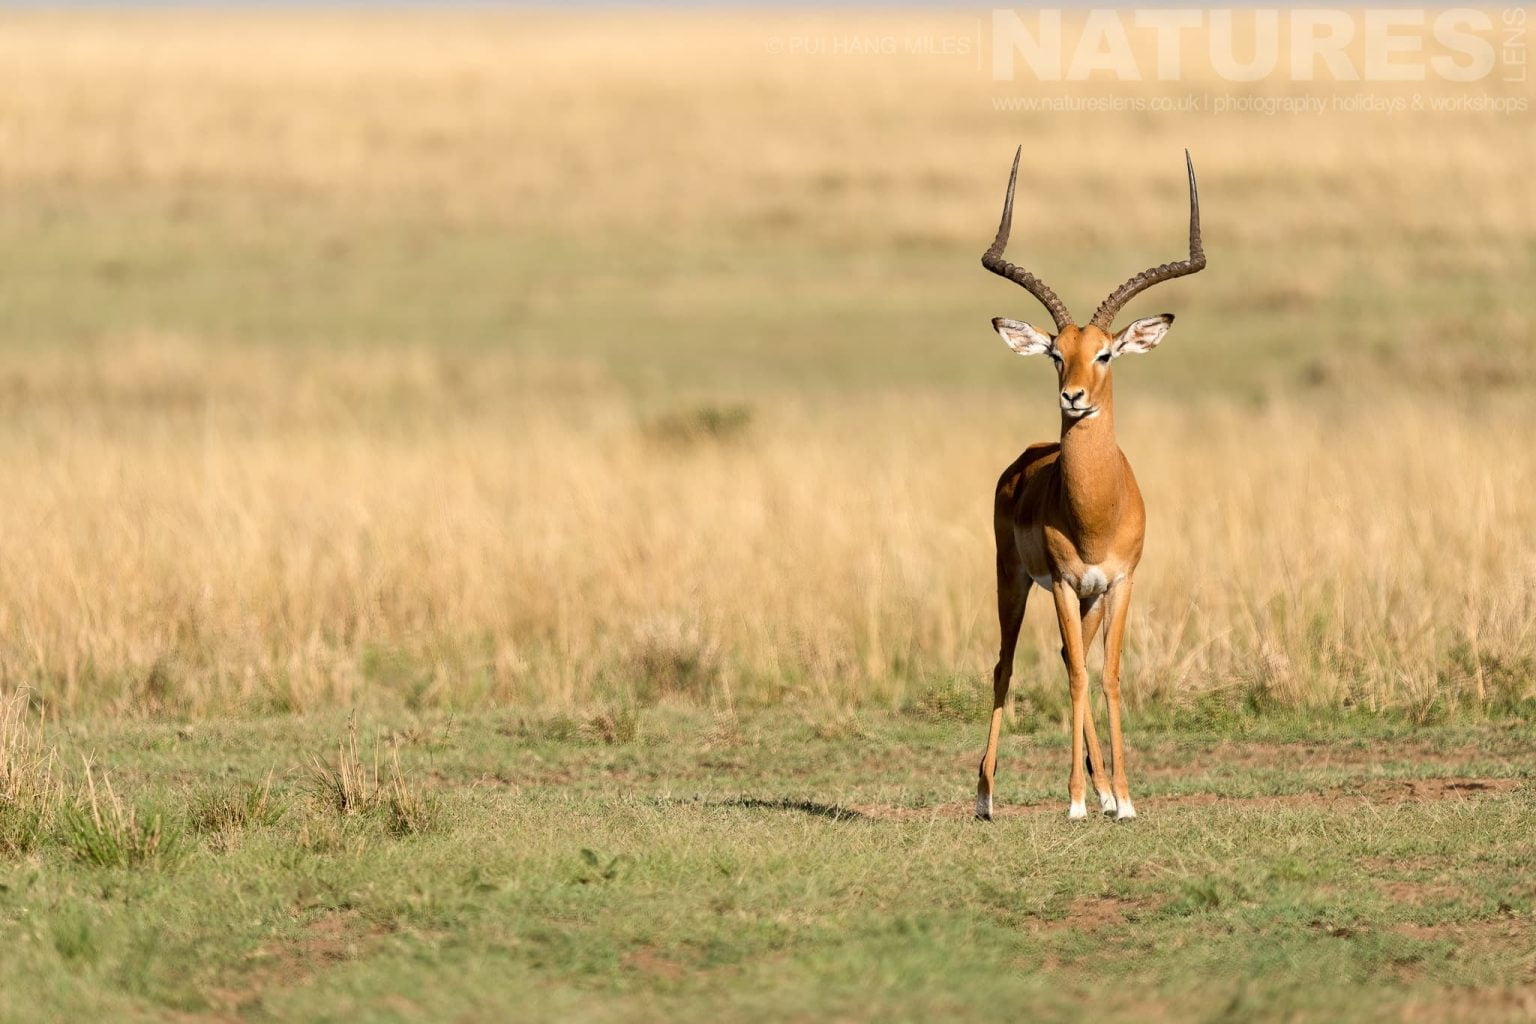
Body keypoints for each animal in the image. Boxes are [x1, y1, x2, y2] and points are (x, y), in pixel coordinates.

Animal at [974, 147, 1206, 822]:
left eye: (1105, 353)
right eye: (1056, 352)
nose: (1073, 397)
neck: (1096, 510)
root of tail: (1028, 456)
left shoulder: (1119, 583)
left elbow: (1107, 675)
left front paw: (1121, 799)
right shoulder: (1061, 582)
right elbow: (1078, 675)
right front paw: (1075, 802)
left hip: (1088, 599)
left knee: (1065, 659)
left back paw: (1102, 789)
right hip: (1014, 580)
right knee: (1004, 665)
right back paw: (986, 797)